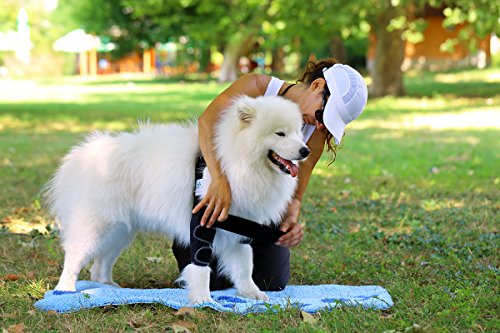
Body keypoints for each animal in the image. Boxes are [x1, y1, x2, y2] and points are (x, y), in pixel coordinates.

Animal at [47, 94, 312, 304]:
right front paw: (203, 301)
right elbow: (201, 267)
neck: (231, 164)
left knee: (102, 261)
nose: (305, 151)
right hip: (95, 224)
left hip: (120, 230)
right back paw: (65, 290)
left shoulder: (239, 230)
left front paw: (252, 294)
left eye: (298, 133)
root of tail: (78, 156)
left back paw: (107, 287)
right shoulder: (202, 223)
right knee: (74, 256)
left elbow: (245, 266)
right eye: (280, 133)